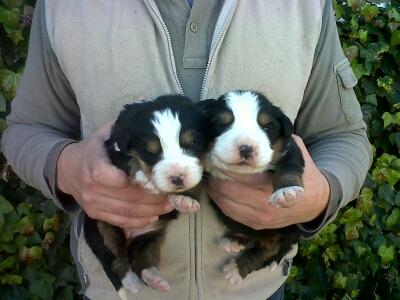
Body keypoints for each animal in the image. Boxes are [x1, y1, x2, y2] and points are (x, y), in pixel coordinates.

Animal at [84, 95, 208, 296]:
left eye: (192, 143)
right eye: (150, 151)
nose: (177, 178)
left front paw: (185, 200)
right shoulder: (115, 153)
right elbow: (131, 161)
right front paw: (146, 179)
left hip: (150, 237)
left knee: (141, 258)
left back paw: (153, 277)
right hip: (102, 228)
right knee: (116, 260)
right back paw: (131, 282)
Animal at [200, 89, 306, 284]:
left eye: (267, 128)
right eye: (222, 125)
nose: (245, 148)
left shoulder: (289, 148)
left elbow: (288, 168)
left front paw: (286, 191)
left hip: (283, 232)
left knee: (268, 251)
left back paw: (236, 269)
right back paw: (233, 241)